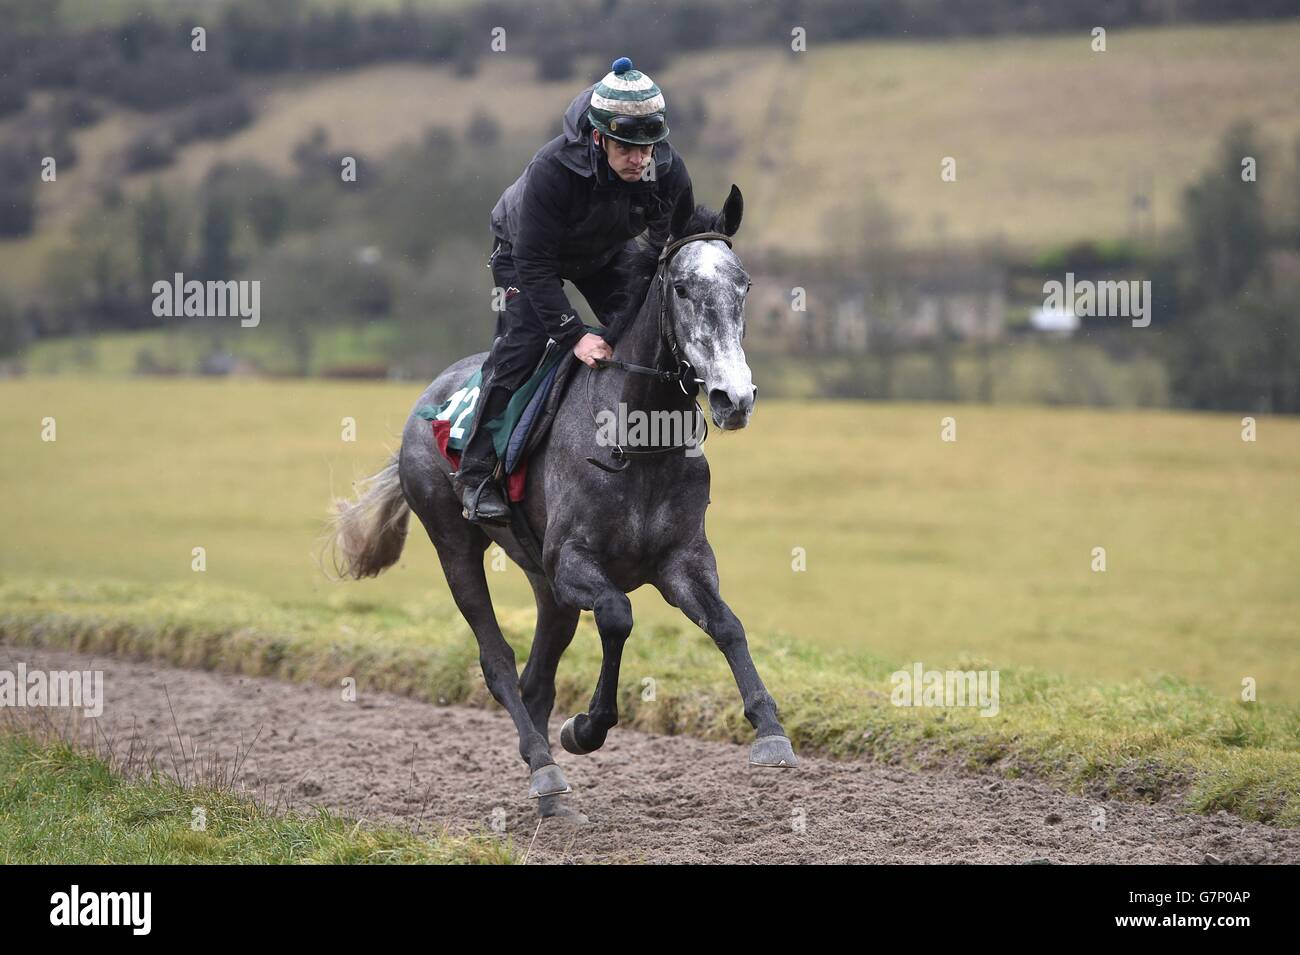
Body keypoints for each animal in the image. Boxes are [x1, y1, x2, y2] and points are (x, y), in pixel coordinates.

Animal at [327, 187, 790, 821]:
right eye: (681, 287)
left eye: (743, 284)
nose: (733, 398)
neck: (637, 439)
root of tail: (428, 397)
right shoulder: (574, 561)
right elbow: (618, 614)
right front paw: (587, 727)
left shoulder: (682, 561)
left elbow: (728, 624)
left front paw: (770, 730)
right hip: (456, 545)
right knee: (498, 662)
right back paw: (546, 773)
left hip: (545, 585)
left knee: (535, 679)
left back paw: (545, 776)